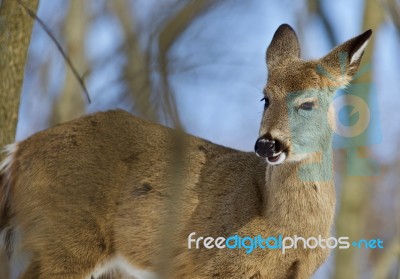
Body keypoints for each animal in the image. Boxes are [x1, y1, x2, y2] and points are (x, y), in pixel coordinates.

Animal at [0, 24, 372, 279]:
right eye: (265, 97)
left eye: (308, 102)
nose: (266, 143)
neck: (284, 229)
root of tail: (18, 153)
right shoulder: (212, 263)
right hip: (66, 237)